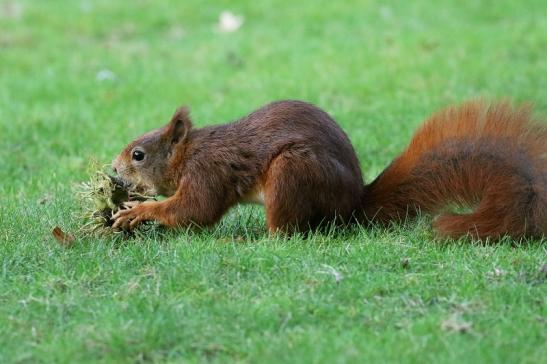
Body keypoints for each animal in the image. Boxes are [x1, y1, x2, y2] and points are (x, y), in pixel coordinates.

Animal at [109, 99, 544, 240]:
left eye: (138, 155)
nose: (113, 170)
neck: (188, 154)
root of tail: (352, 206)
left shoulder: (207, 172)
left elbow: (194, 211)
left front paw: (138, 211)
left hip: (293, 172)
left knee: (284, 233)